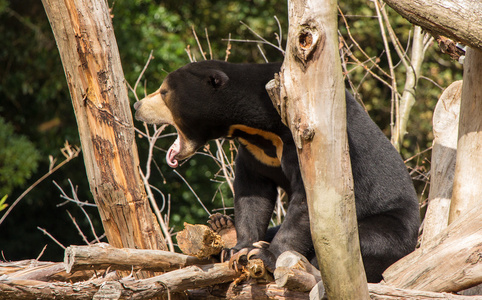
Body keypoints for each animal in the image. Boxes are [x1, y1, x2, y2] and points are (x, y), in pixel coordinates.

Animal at [134, 59, 420, 282]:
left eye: (163, 92)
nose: (137, 106)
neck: (258, 128)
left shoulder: (310, 139)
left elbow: (309, 200)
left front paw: (266, 254)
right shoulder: (255, 151)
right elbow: (253, 193)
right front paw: (239, 249)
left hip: (391, 226)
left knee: (365, 243)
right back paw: (222, 229)